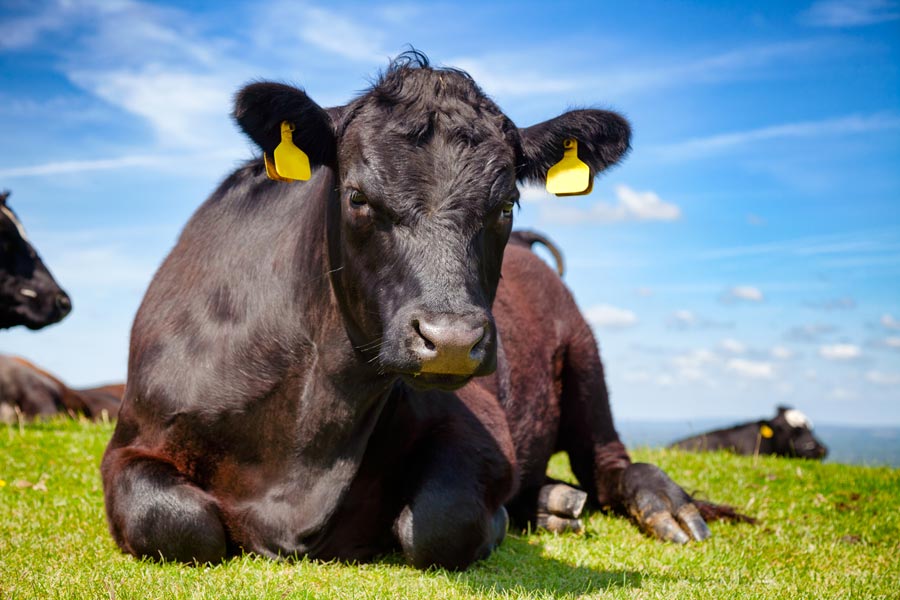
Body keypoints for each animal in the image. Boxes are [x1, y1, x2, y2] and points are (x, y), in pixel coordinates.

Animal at [102, 50, 728, 568]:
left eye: (507, 203)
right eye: (357, 196)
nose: (450, 339)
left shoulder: (480, 432)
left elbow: (438, 522)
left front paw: (500, 521)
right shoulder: (131, 440)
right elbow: (173, 522)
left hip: (584, 359)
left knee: (609, 461)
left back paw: (659, 506)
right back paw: (552, 502)